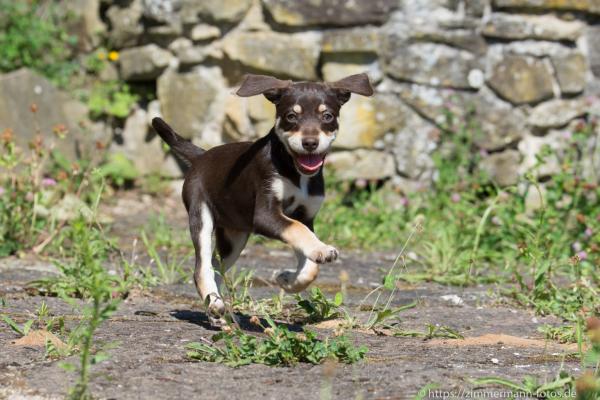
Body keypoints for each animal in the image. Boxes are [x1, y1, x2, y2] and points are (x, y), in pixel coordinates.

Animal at [152, 72, 372, 324]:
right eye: (291, 116)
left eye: (327, 116)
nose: (310, 143)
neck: (295, 172)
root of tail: (201, 156)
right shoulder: (266, 215)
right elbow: (298, 231)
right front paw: (321, 251)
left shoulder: (306, 215)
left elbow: (309, 260)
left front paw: (289, 279)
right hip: (201, 216)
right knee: (201, 267)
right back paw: (214, 304)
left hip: (234, 237)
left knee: (216, 265)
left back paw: (215, 309)